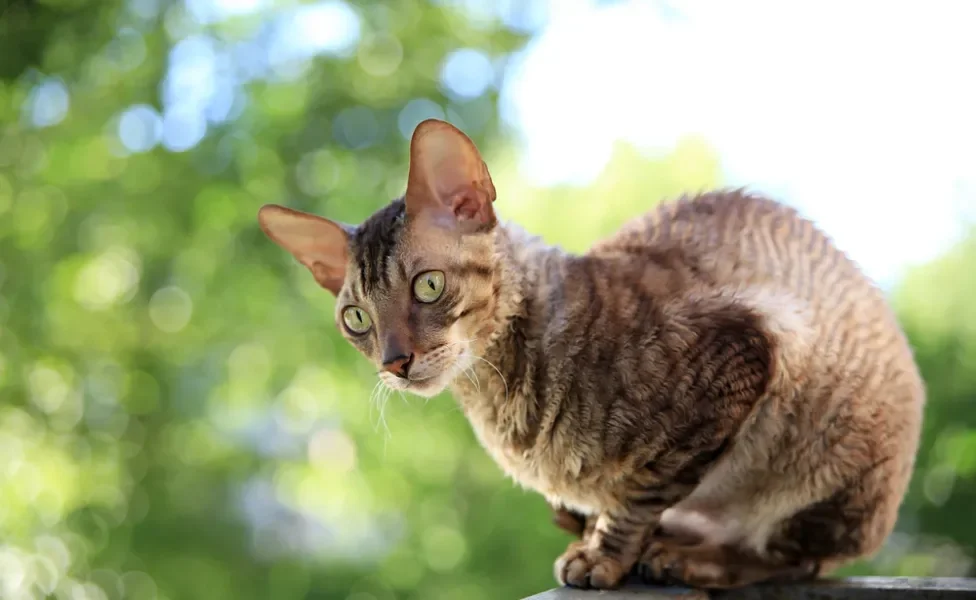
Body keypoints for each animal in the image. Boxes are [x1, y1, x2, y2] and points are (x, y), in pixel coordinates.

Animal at [258, 118, 924, 592]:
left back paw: (691, 558)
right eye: (357, 320)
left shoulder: (746, 351)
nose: (395, 361)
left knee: (797, 557)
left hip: (832, 461)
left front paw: (604, 554)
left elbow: (642, 492)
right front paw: (596, 535)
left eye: (428, 285)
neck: (498, 401)